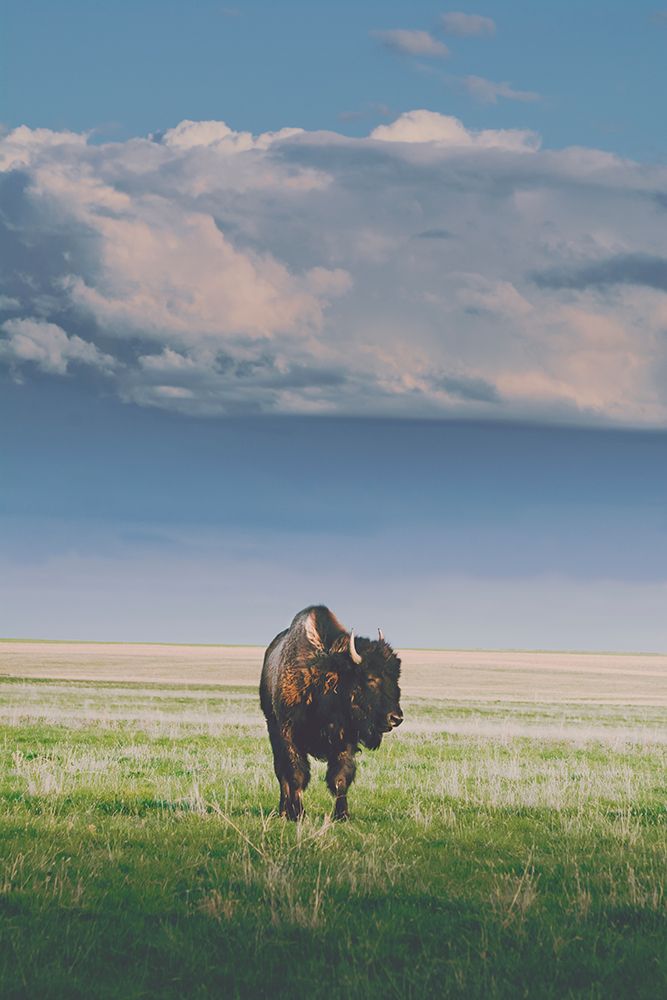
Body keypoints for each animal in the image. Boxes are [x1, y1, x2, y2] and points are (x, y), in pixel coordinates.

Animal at [260, 605, 403, 820]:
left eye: (395, 677)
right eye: (370, 678)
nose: (396, 718)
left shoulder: (345, 740)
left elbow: (340, 777)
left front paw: (342, 814)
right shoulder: (288, 734)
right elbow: (296, 774)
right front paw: (299, 813)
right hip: (273, 728)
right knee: (281, 773)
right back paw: (284, 810)